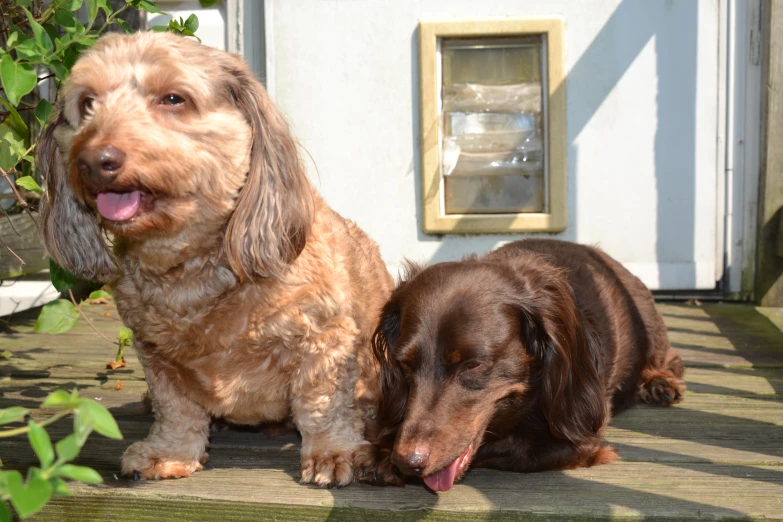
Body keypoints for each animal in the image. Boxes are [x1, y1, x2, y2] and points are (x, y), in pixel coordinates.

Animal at [38, 31, 392, 488]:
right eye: (86, 103)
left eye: (174, 98)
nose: (94, 160)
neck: (192, 273)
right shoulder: (156, 357)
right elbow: (177, 408)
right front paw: (170, 453)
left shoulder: (325, 340)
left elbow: (321, 404)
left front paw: (333, 453)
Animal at [362, 238, 688, 490]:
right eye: (405, 365)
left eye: (473, 365)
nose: (408, 461)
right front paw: (383, 449)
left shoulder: (580, 438)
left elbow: (508, 450)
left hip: (649, 325)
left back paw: (660, 382)